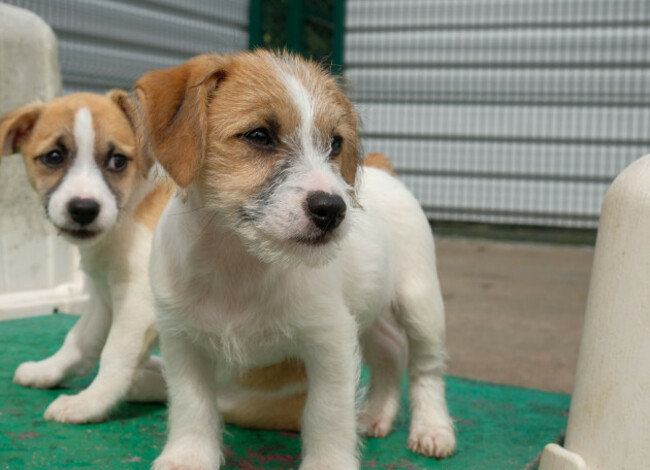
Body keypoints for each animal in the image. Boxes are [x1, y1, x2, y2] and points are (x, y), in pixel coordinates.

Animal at [134, 49, 454, 468]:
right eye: (259, 136)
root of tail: (383, 171)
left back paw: (432, 429)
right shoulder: (182, 341)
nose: (332, 209)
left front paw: (329, 463)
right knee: (391, 349)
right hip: (368, 308)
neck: (239, 263)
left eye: (335, 144)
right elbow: (192, 406)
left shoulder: (329, 341)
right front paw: (188, 457)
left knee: (425, 366)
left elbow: (326, 413)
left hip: (420, 302)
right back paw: (376, 415)